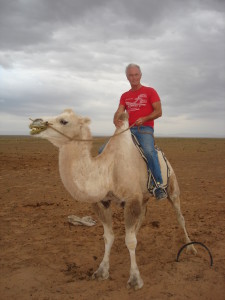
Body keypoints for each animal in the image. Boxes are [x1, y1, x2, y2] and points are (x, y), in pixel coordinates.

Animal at [29, 109, 196, 290]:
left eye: (64, 121)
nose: (35, 122)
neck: (108, 172)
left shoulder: (131, 200)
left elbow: (130, 241)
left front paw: (135, 279)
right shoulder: (103, 202)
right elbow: (108, 237)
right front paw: (101, 271)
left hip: (172, 187)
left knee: (179, 217)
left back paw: (191, 248)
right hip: (144, 196)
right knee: (143, 216)